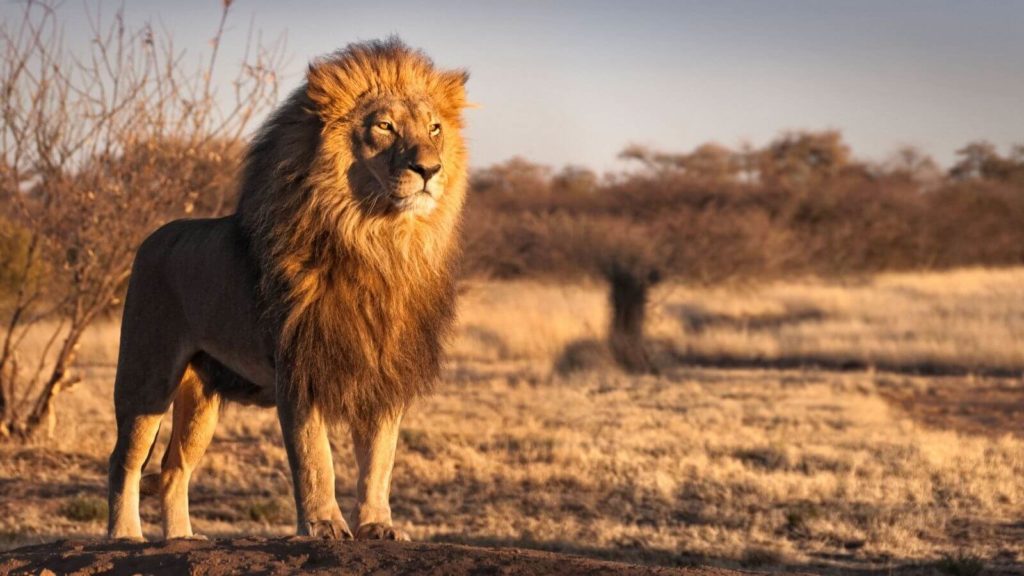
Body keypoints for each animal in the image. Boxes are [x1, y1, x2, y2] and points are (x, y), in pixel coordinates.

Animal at [107, 38, 468, 541]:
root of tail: (152, 237)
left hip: (201, 397)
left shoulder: (384, 371)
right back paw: (125, 535)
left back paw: (181, 538)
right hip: (147, 374)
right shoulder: (299, 367)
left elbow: (379, 460)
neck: (379, 243)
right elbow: (315, 458)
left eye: (435, 128)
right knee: (125, 459)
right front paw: (324, 525)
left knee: (174, 467)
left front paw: (378, 525)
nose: (430, 168)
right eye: (384, 126)